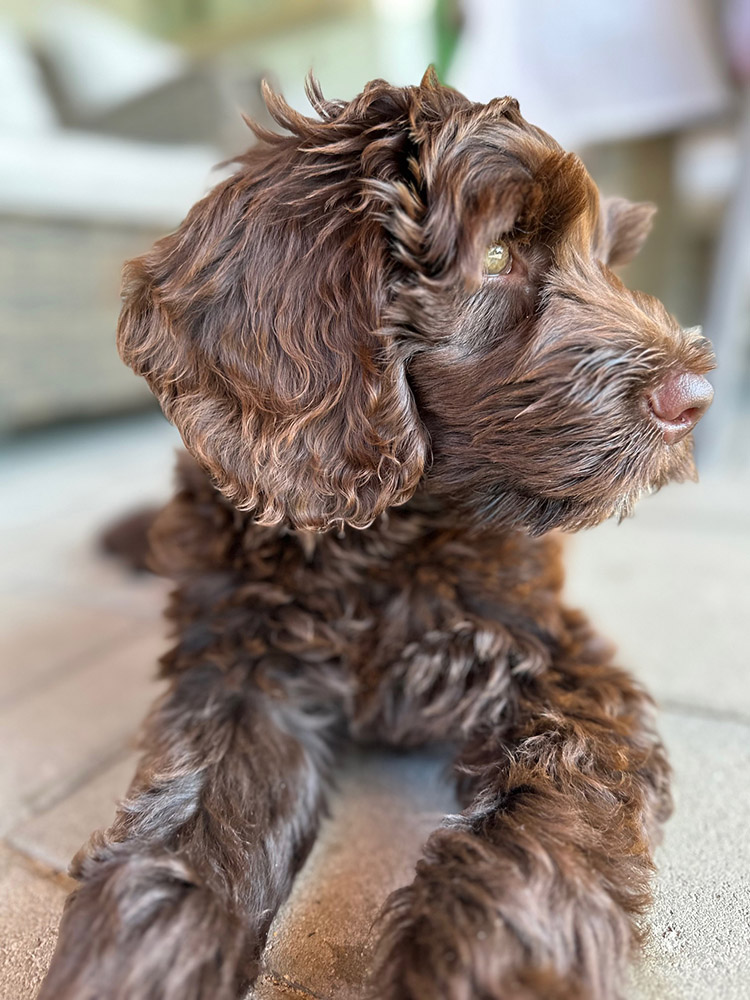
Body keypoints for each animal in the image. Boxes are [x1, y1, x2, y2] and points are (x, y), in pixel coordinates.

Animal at [36, 72, 716, 1000]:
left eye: (607, 262)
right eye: (496, 256)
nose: (696, 400)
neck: (381, 540)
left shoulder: (559, 661)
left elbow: (535, 841)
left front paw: (485, 967)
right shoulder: (246, 672)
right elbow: (177, 847)